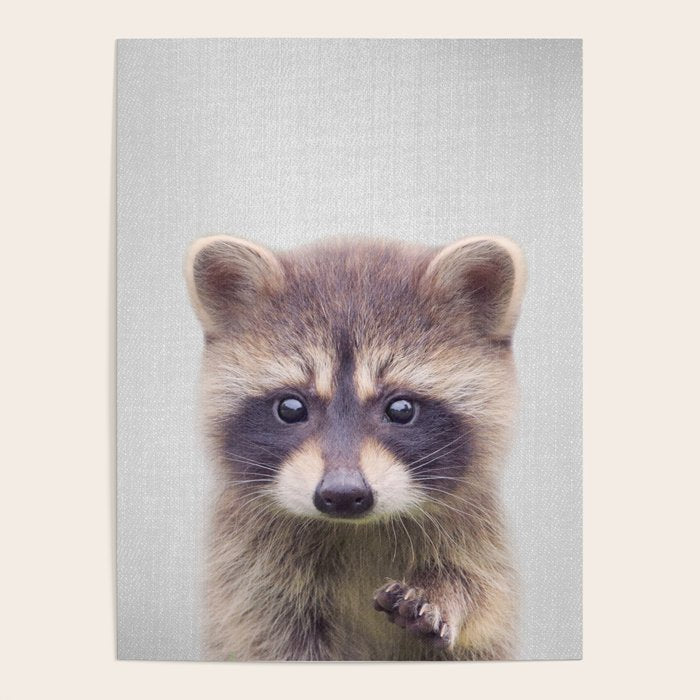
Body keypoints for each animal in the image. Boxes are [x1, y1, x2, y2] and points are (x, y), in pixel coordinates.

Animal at [185, 234, 526, 661]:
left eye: (401, 409)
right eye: (290, 408)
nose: (343, 494)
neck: (356, 529)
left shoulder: (477, 531)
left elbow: (483, 592)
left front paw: (446, 592)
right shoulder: (249, 569)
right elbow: (267, 635)